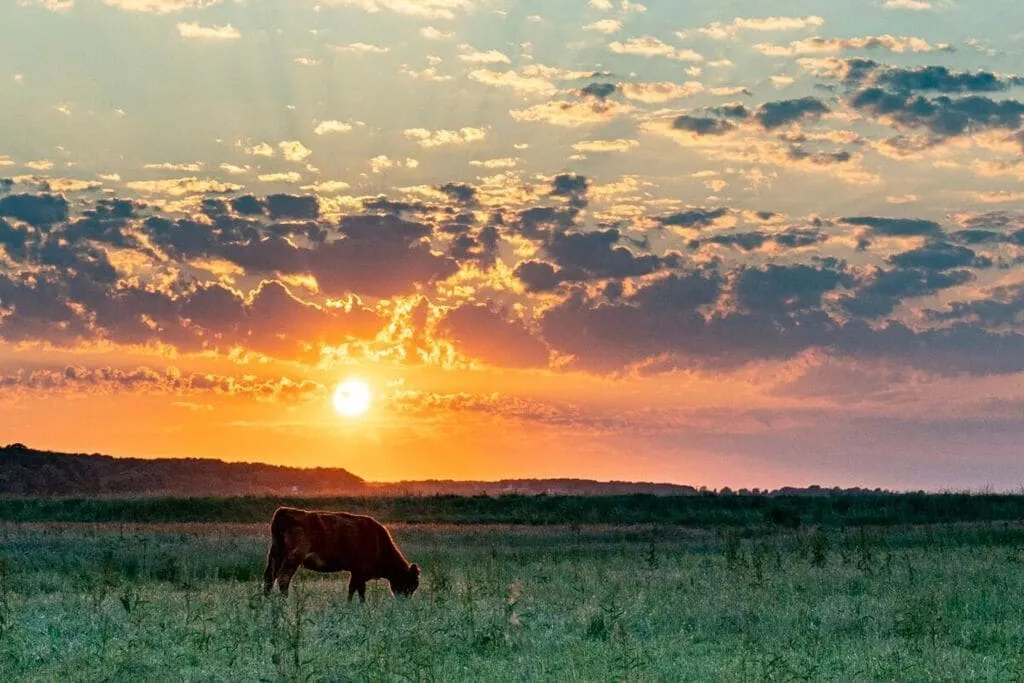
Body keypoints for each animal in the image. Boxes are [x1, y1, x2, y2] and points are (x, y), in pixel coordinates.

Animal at [268, 505, 423, 602]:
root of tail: (285, 511)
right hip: (292, 559)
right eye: (410, 583)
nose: (405, 601)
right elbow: (360, 592)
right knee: (283, 579)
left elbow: (351, 589)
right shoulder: (360, 573)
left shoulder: (355, 573)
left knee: (269, 578)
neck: (378, 541)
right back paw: (285, 602)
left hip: (276, 555)